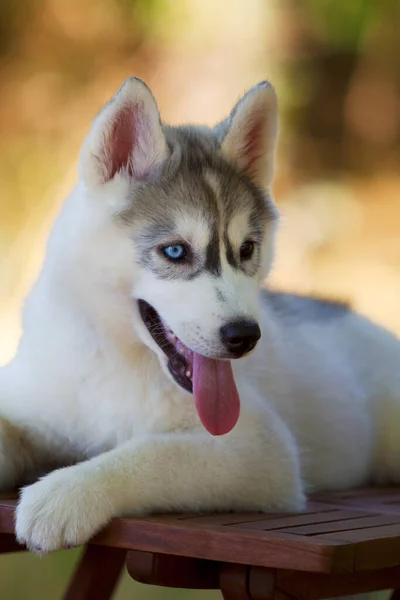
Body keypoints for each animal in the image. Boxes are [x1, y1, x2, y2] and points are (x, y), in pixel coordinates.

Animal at [0, 78, 398, 552]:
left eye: (246, 249)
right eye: (175, 251)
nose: (244, 336)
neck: (117, 361)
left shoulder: (260, 451)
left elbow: (152, 452)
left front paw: (66, 492)